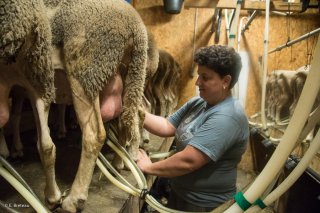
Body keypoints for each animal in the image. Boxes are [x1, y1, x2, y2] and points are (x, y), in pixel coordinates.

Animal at [0, 0, 149, 212]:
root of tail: (136, 27)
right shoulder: (31, 85)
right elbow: (43, 143)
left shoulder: (33, 80)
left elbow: (38, 138)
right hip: (131, 75)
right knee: (134, 115)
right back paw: (124, 160)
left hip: (85, 72)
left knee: (95, 135)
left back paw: (74, 199)